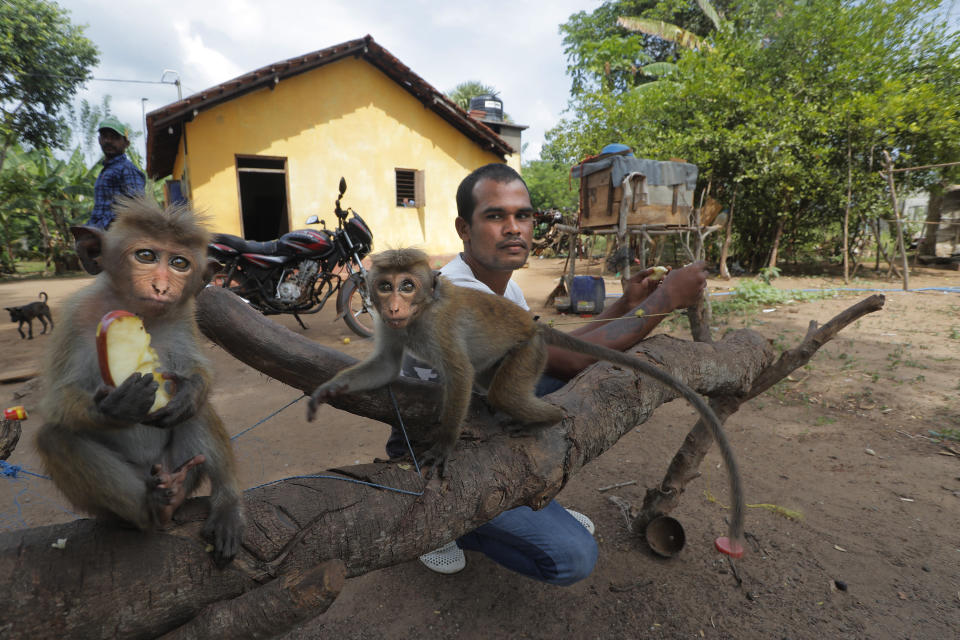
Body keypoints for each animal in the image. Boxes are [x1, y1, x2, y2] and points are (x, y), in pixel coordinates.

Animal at [36, 198, 248, 568]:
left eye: (179, 263)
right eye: (146, 256)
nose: (161, 287)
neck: (138, 312)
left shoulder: (187, 315)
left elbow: (198, 375)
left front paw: (191, 388)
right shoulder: (76, 314)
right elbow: (55, 402)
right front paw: (117, 407)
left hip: (178, 467)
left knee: (199, 411)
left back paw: (222, 505)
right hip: (127, 492)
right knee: (55, 437)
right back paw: (153, 510)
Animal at [308, 248, 752, 552]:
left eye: (407, 285)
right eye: (385, 286)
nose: (395, 304)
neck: (418, 315)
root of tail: (534, 325)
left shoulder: (438, 325)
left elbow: (459, 375)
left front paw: (443, 448)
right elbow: (386, 365)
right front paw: (325, 391)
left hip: (530, 352)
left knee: (504, 390)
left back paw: (551, 418)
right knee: (492, 381)